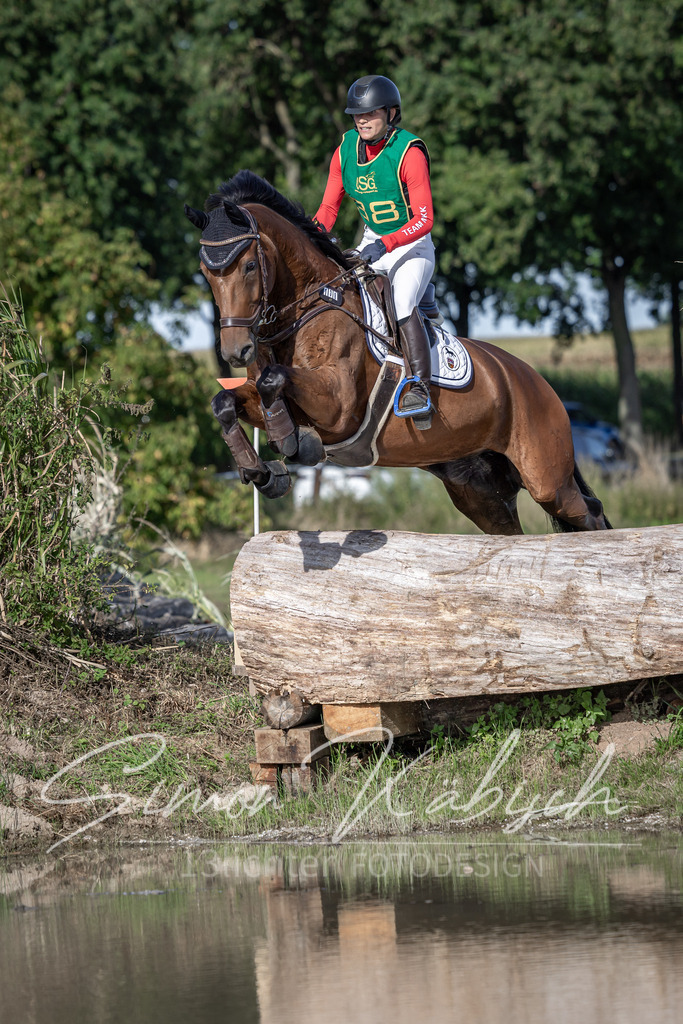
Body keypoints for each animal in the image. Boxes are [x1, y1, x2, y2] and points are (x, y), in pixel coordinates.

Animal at [185, 170, 611, 536]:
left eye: (249, 266)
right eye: (206, 273)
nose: (236, 351)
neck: (310, 306)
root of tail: (540, 383)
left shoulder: (338, 406)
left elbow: (275, 382)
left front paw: (290, 441)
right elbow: (224, 402)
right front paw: (262, 473)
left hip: (546, 479)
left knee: (590, 514)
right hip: (480, 491)